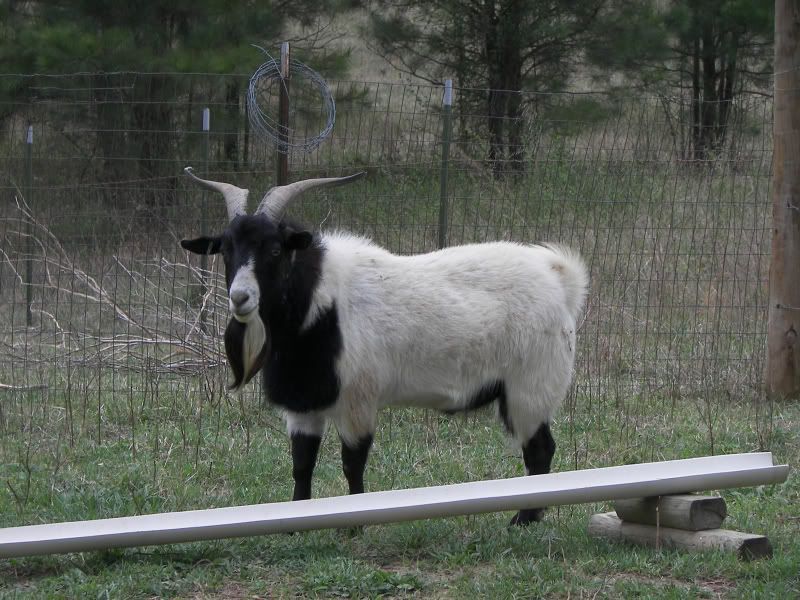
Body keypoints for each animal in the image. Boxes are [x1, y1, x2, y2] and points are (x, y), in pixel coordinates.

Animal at [180, 167, 589, 526]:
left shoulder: (357, 402)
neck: (319, 304)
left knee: (540, 450)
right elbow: (301, 465)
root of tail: (561, 279)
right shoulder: (303, 407)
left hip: (529, 389)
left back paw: (523, 520)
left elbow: (352, 464)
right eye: (225, 249)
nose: (240, 298)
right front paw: (295, 525)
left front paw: (354, 527)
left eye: (276, 249)